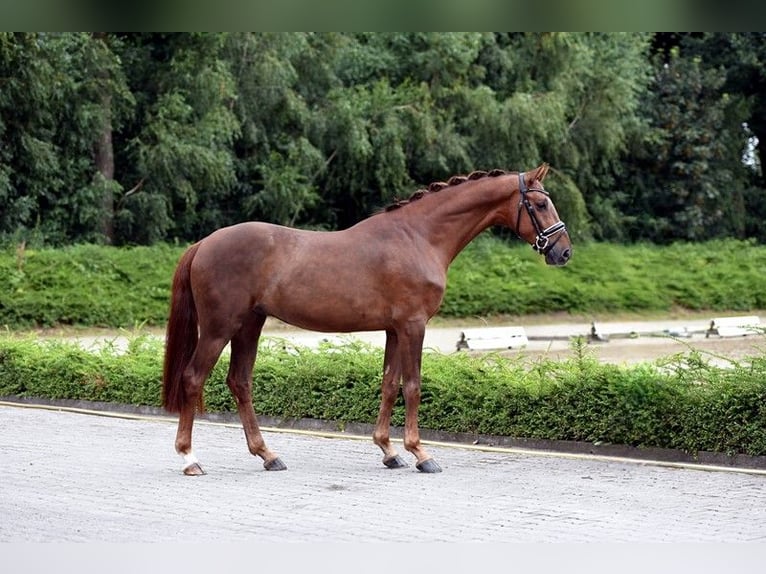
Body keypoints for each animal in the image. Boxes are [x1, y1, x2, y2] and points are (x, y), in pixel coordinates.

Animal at [162, 163, 568, 476]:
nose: (563, 252)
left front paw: (389, 451)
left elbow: (389, 385)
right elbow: (413, 386)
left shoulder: (393, 330)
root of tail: (203, 244)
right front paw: (421, 454)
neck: (418, 237)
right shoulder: (413, 326)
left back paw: (268, 455)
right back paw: (190, 459)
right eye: (540, 203)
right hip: (219, 329)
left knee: (240, 382)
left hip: (250, 326)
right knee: (193, 378)